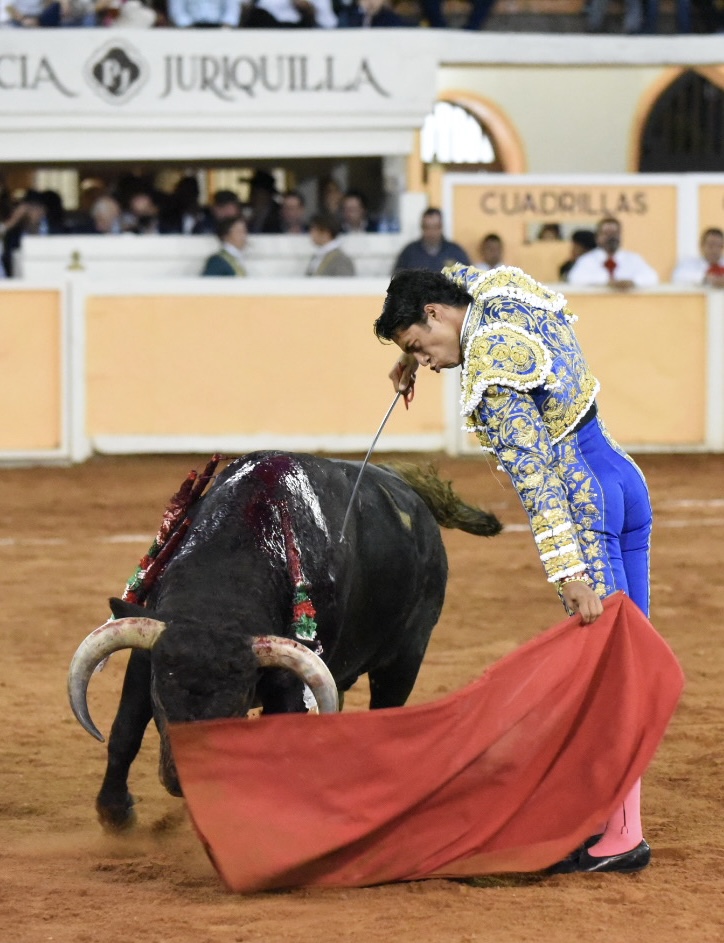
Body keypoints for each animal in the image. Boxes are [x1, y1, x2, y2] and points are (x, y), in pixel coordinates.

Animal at [68, 451, 501, 830]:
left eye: (237, 705)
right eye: (160, 696)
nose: (180, 782)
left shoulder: (289, 681)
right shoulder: (146, 656)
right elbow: (125, 730)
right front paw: (114, 813)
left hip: (405, 658)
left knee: (387, 710)